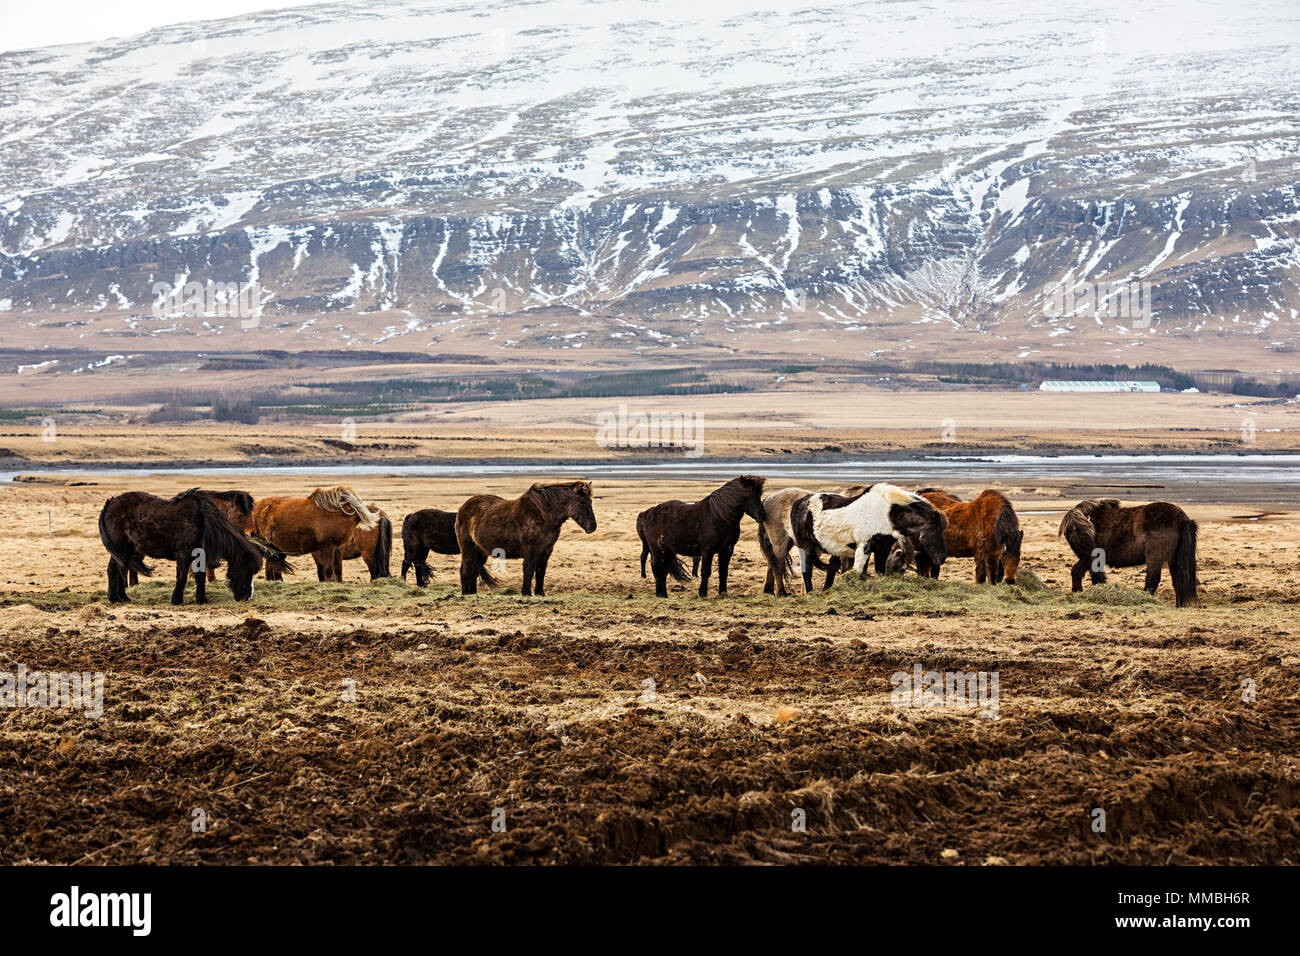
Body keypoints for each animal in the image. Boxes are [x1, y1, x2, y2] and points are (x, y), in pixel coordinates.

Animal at [98, 489, 288, 604]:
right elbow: (182, 576)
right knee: (117, 570)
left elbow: (200, 577)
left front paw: (201, 599)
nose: (246, 596)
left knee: (114, 569)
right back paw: (121, 598)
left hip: (126, 551)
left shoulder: (200, 555)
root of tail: (109, 504)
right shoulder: (184, 554)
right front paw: (177, 600)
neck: (205, 521)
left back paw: (116, 598)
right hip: (122, 549)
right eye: (247, 569)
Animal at [455, 481, 596, 596]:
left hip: (480, 553)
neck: (542, 516)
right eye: (583, 502)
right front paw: (526, 593)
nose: (592, 527)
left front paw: (540, 593)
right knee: (465, 571)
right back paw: (466, 595)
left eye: (590, 502)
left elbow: (540, 573)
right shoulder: (531, 551)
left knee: (473, 572)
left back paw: (472, 594)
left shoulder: (546, 551)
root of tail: (463, 508)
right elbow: (529, 571)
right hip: (468, 550)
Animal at [637, 475, 766, 597]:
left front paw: (723, 592)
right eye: (749, 494)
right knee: (656, 568)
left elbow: (723, 572)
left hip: (669, 552)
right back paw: (661, 594)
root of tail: (649, 513)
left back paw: (662, 594)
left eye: (759, 494)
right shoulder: (707, 550)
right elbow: (705, 572)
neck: (719, 517)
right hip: (658, 551)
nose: (762, 515)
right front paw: (702, 593)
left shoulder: (727, 550)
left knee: (663, 571)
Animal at [788, 483, 947, 592]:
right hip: (805, 547)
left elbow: (879, 571)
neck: (886, 514)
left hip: (819, 548)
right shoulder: (864, 546)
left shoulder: (882, 549)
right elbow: (858, 572)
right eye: (935, 529)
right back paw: (810, 593)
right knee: (807, 572)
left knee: (829, 569)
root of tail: (799, 503)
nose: (942, 558)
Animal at [1059, 498, 1198, 606]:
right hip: (1174, 560)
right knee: (1178, 580)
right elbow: (1086, 574)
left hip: (1155, 558)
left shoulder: (1089, 558)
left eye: (1087, 530)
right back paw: (1179, 605)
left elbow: (1084, 573)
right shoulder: (1089, 559)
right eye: (1072, 531)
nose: (1092, 550)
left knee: (1153, 580)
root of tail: (1184, 519)